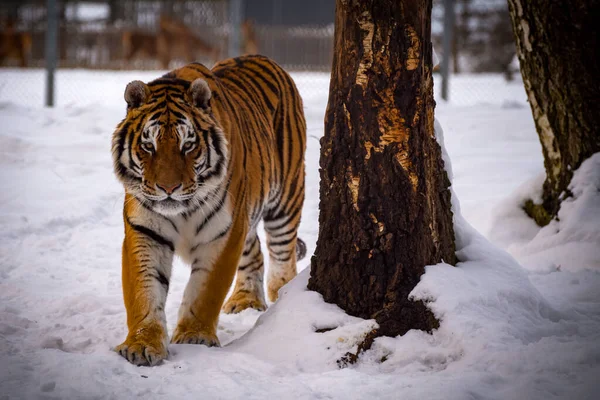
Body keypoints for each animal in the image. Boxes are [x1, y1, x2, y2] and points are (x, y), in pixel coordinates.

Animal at [112, 55, 308, 366]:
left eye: (187, 145)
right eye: (148, 145)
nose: (168, 188)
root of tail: (265, 58)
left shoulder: (223, 233)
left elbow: (205, 291)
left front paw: (194, 337)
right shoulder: (144, 231)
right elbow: (144, 291)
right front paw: (142, 345)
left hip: (285, 200)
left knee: (282, 255)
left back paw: (282, 297)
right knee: (254, 253)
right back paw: (246, 301)